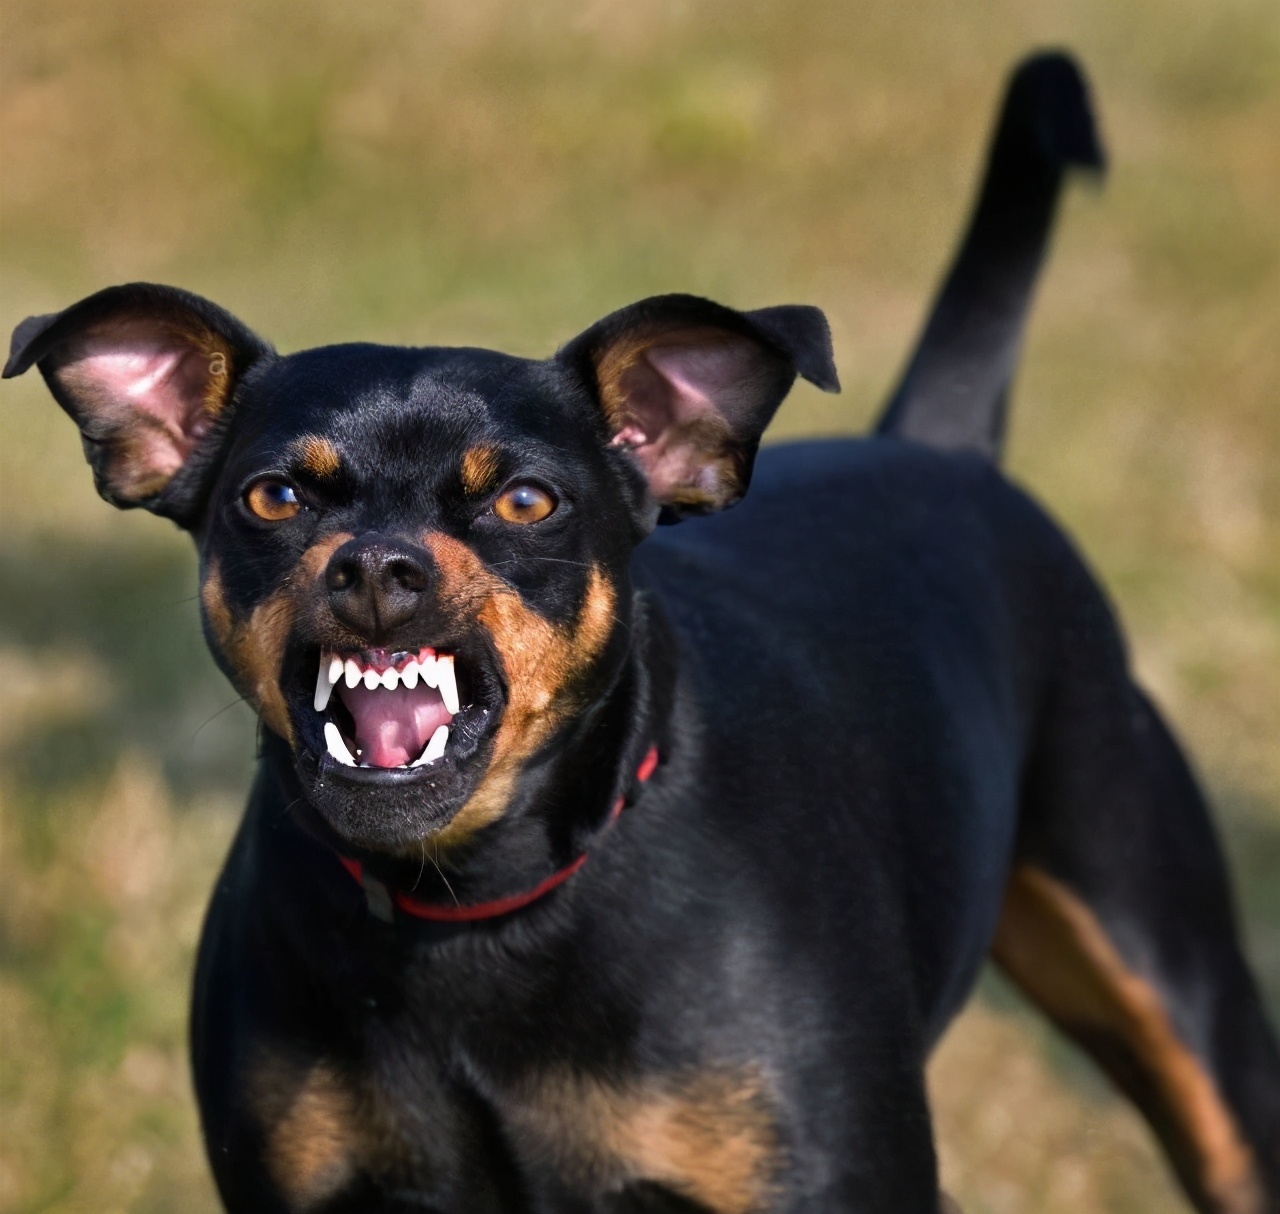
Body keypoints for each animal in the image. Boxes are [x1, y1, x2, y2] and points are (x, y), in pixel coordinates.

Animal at [10, 49, 1280, 1214]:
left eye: (527, 500)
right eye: (273, 497)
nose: (376, 567)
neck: (474, 901)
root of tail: (940, 444)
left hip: (1175, 988)